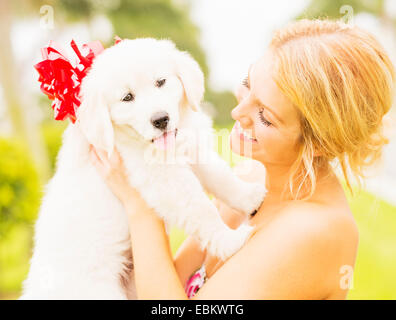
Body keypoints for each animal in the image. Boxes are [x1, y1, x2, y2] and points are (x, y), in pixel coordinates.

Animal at [19, 38, 266, 300]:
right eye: (127, 97)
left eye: (161, 82)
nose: (160, 120)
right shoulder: (164, 179)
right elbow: (202, 208)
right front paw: (230, 241)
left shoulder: (190, 149)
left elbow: (220, 176)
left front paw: (250, 196)